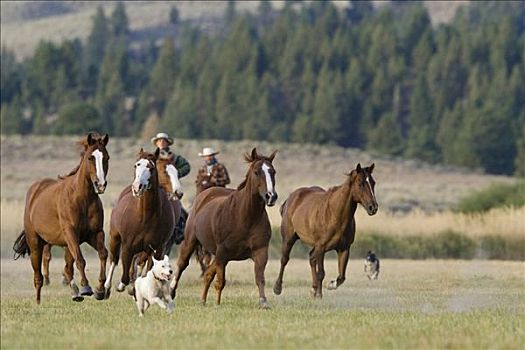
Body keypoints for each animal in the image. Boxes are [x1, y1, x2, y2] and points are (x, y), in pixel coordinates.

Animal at [13, 133, 110, 302]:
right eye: (90, 158)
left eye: (106, 157)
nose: (100, 184)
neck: (82, 198)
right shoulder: (71, 233)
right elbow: (80, 259)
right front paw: (86, 287)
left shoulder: (95, 233)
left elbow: (103, 254)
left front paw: (100, 290)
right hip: (36, 244)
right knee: (38, 277)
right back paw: (39, 302)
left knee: (67, 267)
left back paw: (74, 292)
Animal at [103, 148, 175, 298]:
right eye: (136, 165)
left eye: (151, 167)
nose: (137, 187)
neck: (145, 216)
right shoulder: (127, 245)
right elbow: (124, 273)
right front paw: (121, 286)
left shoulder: (157, 248)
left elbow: (148, 269)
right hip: (114, 237)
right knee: (114, 259)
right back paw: (105, 288)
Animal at [171, 148, 278, 308]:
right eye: (256, 172)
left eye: (273, 171)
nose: (271, 196)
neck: (245, 217)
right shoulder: (222, 253)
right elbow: (220, 282)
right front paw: (217, 304)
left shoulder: (260, 251)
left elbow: (260, 278)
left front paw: (263, 302)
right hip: (191, 242)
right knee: (182, 265)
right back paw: (171, 293)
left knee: (207, 274)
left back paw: (202, 301)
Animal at [274, 163, 376, 298]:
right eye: (360, 183)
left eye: (373, 183)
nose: (373, 207)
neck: (335, 214)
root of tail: (290, 198)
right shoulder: (321, 247)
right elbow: (321, 272)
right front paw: (319, 295)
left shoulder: (344, 248)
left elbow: (341, 276)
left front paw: (329, 285)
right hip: (289, 238)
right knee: (284, 259)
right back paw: (277, 288)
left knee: (311, 258)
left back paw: (313, 289)